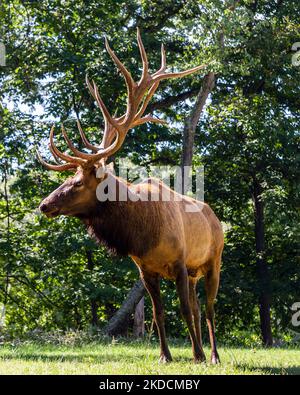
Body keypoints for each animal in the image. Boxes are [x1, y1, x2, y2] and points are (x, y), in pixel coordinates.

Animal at [37, 30, 224, 366]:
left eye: (77, 182)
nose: (45, 205)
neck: (143, 234)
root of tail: (215, 217)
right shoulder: (146, 270)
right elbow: (159, 314)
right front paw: (166, 356)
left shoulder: (179, 262)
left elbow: (184, 310)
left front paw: (198, 356)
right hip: (194, 271)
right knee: (199, 307)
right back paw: (201, 350)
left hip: (213, 259)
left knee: (209, 308)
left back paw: (213, 355)